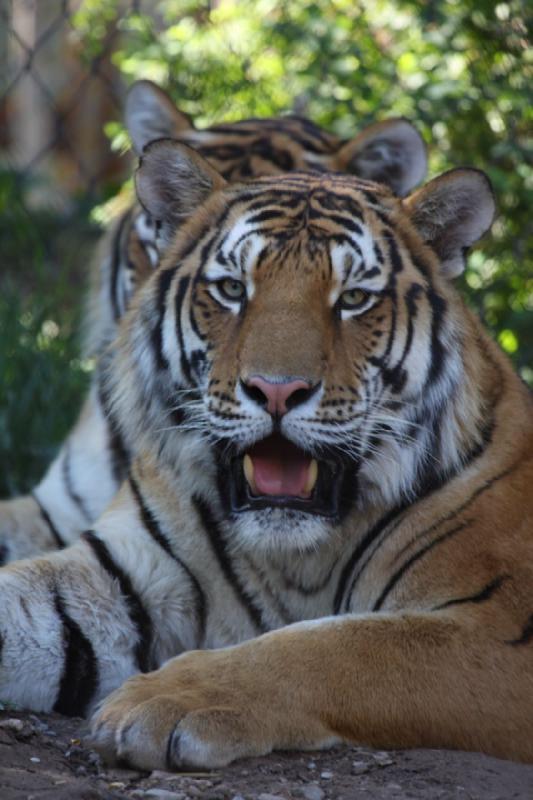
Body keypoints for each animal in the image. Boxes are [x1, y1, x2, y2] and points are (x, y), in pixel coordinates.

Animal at [1, 139, 532, 768]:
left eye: (353, 299)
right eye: (233, 289)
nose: (277, 390)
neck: (297, 558)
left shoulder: (500, 627)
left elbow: (338, 646)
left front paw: (162, 701)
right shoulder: (120, 576)